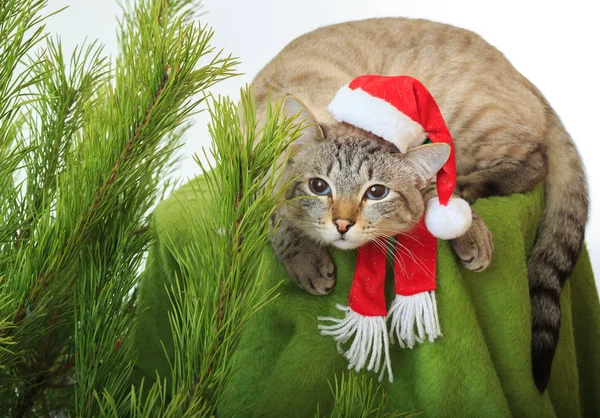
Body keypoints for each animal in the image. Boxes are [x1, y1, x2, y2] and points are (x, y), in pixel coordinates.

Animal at [251, 18, 588, 392]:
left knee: (535, 160)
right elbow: (280, 219)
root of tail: (524, 77)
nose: (342, 225)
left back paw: (469, 187)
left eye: (376, 192)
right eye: (319, 186)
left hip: (462, 124)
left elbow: (432, 197)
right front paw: (309, 264)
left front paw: (470, 234)